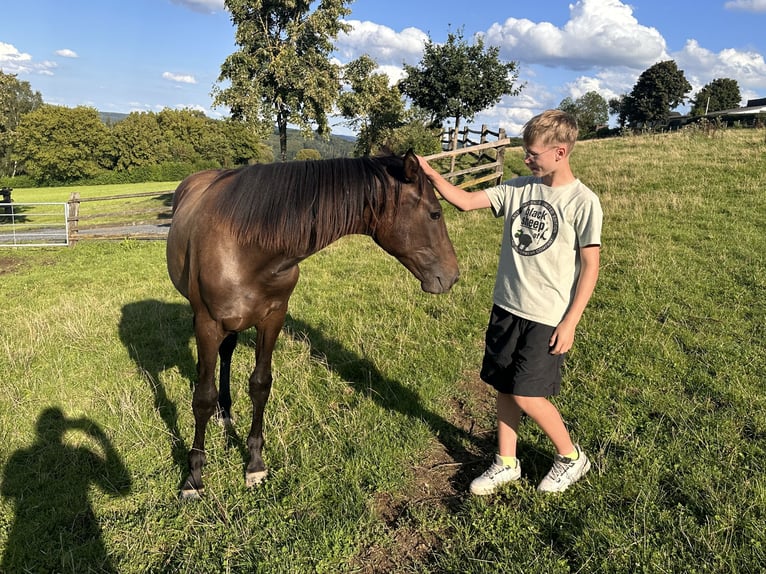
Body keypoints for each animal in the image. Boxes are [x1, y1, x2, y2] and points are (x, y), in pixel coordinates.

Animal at [166, 150, 460, 500]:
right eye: (435, 213)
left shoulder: (272, 319)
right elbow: (202, 398)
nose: (452, 275)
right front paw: (194, 478)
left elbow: (260, 385)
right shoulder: (209, 324)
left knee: (227, 354)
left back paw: (226, 414)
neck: (247, 246)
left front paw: (255, 464)